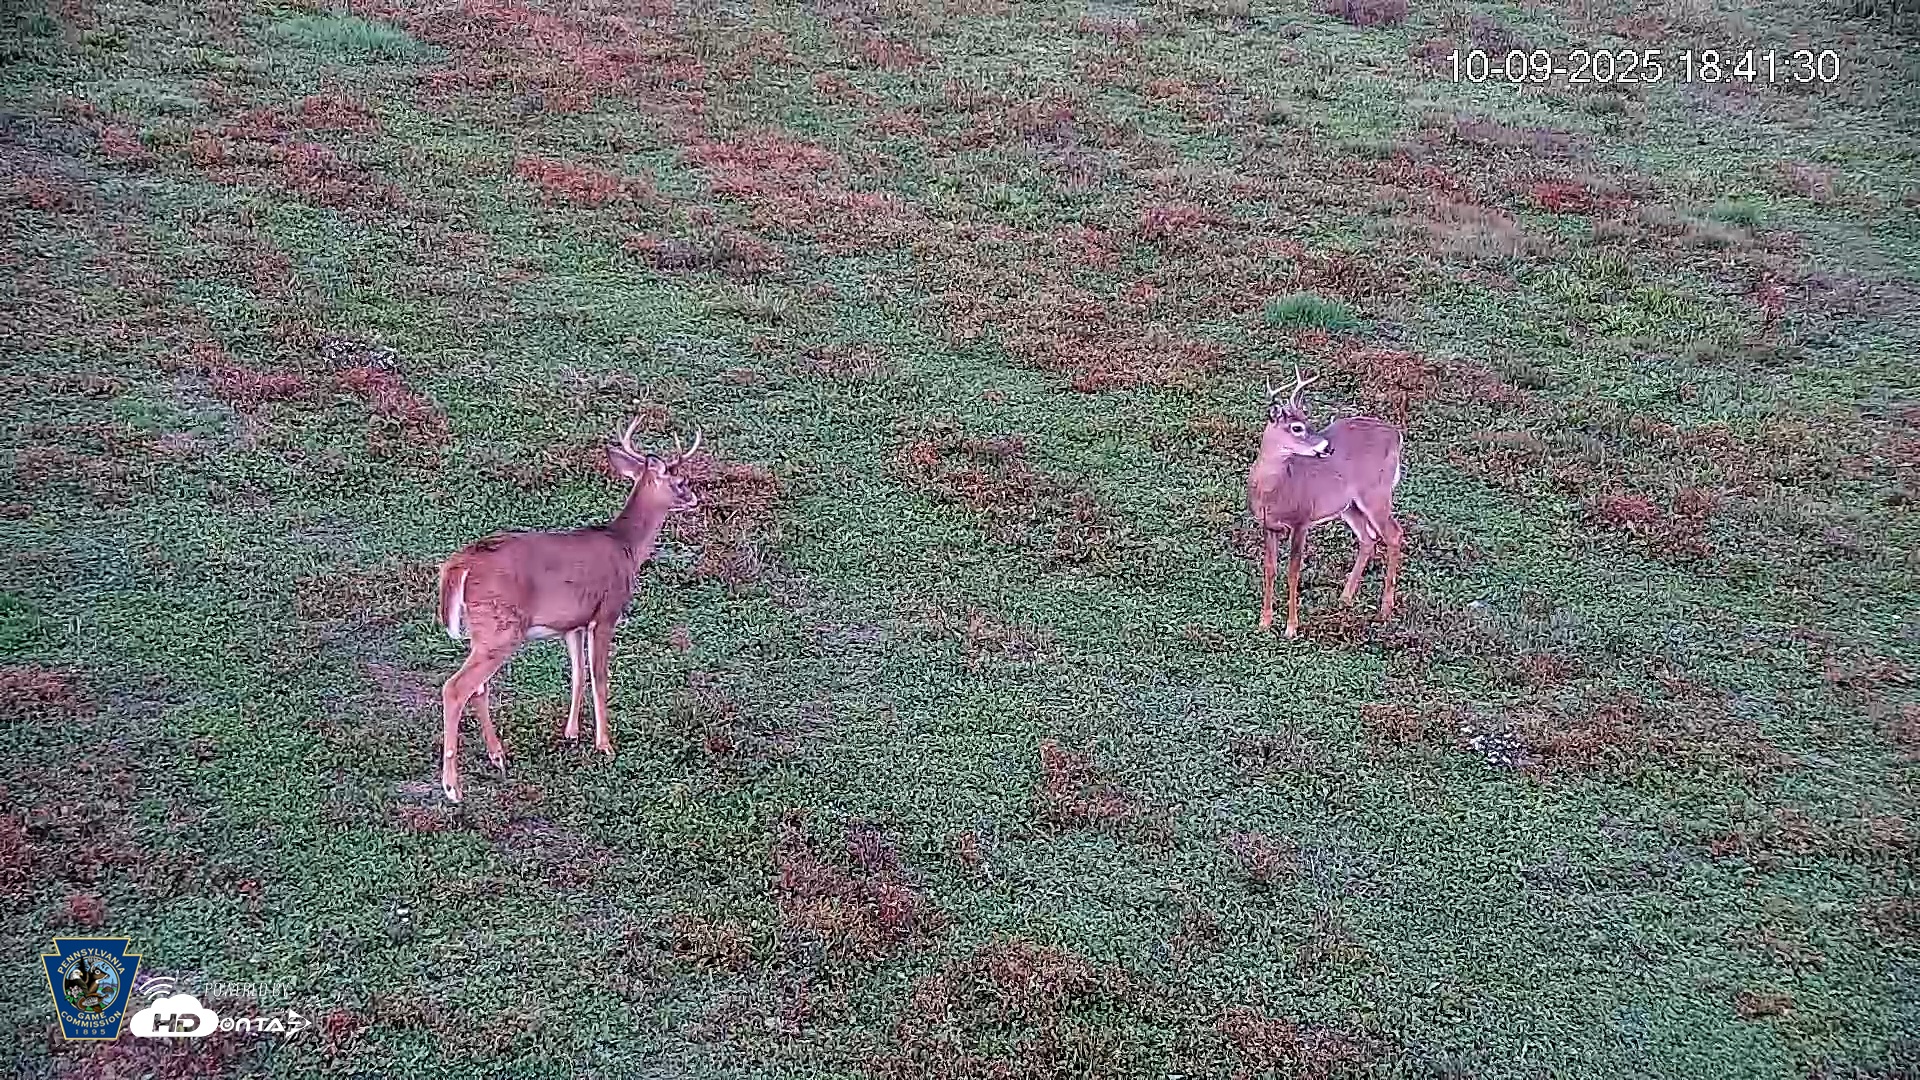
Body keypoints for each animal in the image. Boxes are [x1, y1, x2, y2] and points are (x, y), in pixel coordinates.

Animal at [434, 418, 702, 803]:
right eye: (679, 481)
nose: (694, 498)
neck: (626, 546)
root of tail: (460, 565)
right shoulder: (606, 613)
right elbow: (600, 677)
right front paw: (605, 744)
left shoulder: (573, 623)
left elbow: (577, 673)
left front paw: (572, 732)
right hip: (500, 629)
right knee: (456, 688)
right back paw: (452, 787)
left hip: (482, 631)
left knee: (478, 688)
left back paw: (497, 755)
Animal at [1247, 368, 1406, 639]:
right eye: (1297, 427)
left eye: (1307, 419)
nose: (1326, 447)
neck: (1276, 489)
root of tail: (1396, 435)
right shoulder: (1268, 525)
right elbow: (1270, 568)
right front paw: (1264, 622)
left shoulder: (1302, 520)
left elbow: (1293, 571)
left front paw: (1291, 628)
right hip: (1350, 506)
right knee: (1368, 538)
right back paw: (1345, 598)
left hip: (1376, 493)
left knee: (1394, 534)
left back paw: (1385, 610)